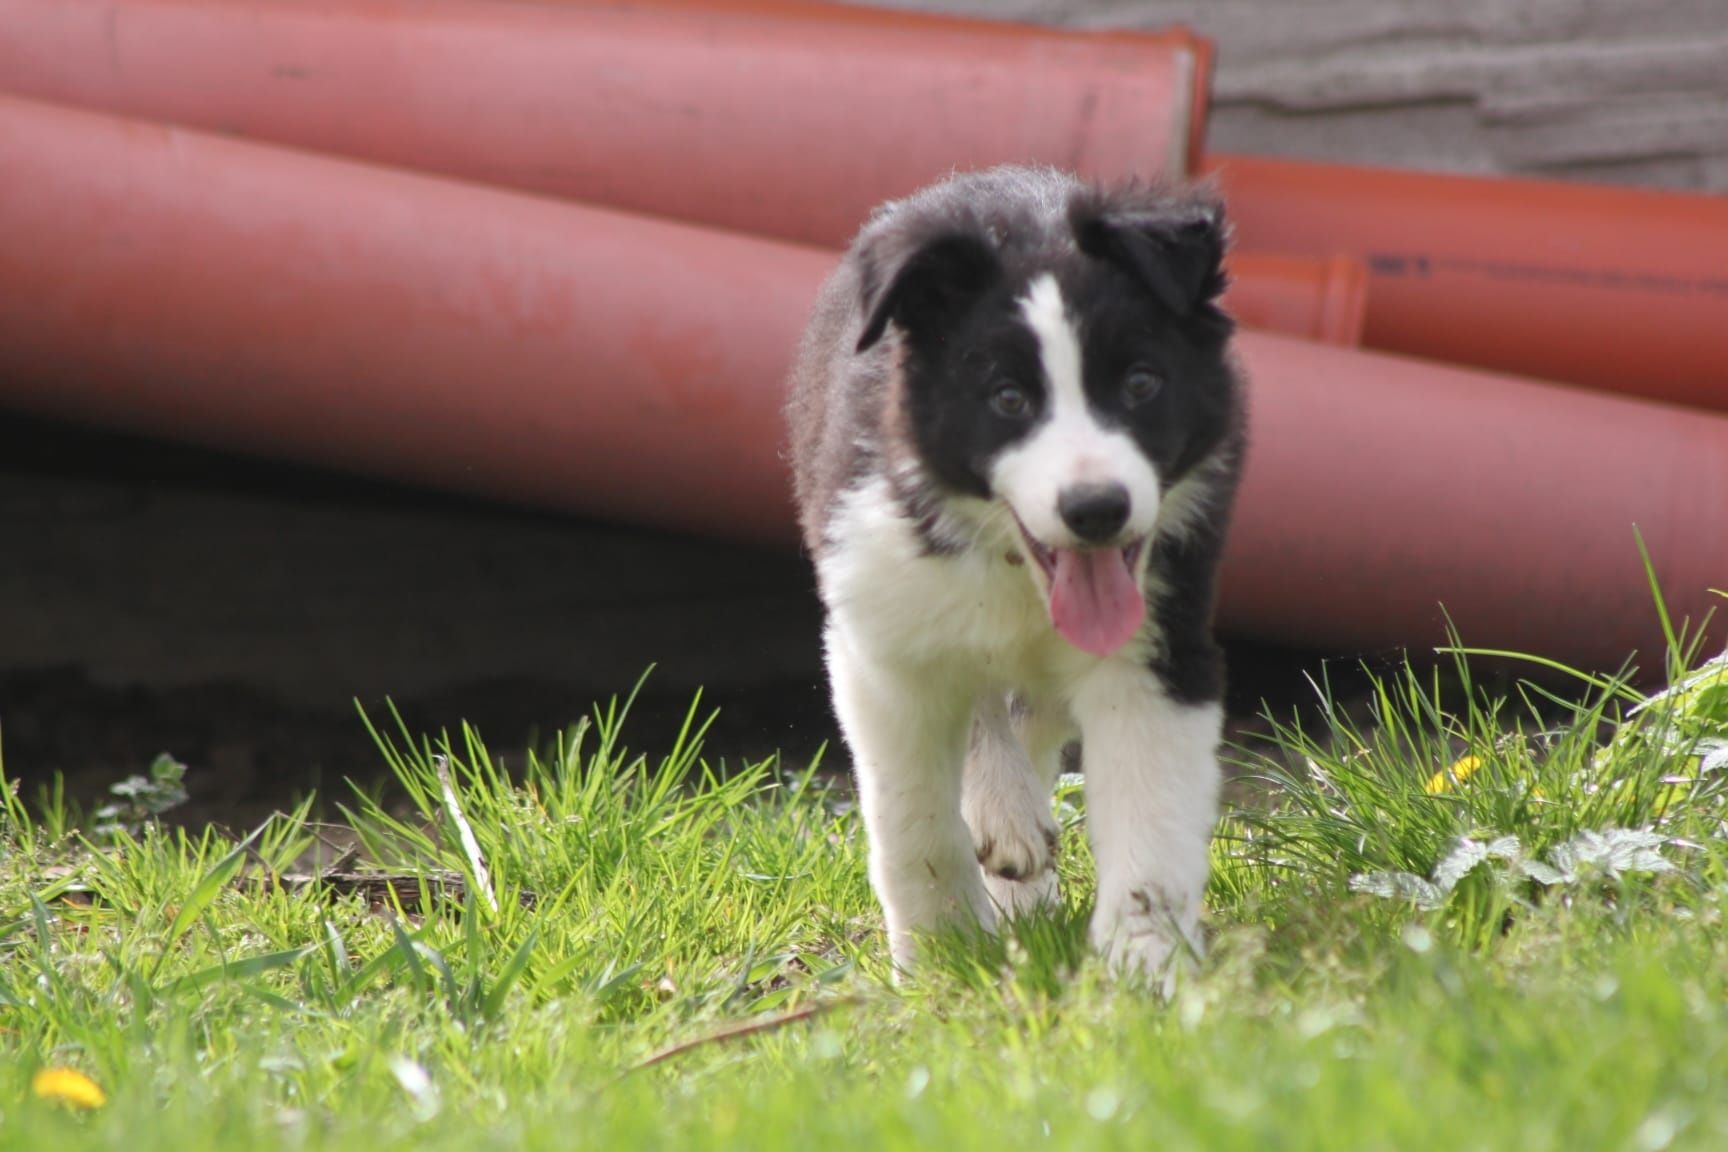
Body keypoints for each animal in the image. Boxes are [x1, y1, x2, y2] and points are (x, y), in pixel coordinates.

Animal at [791, 166, 1251, 987]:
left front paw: (1143, 972)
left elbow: (1152, 818)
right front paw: (942, 958)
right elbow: (914, 819)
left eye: (1141, 384)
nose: (1097, 509)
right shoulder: (881, 640)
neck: (1014, 567)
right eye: (1008, 399)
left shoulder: (1159, 646)